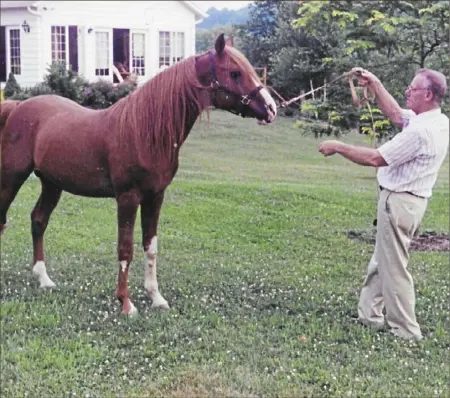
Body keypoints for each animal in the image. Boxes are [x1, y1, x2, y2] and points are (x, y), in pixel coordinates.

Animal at [0, 35, 276, 314]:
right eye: (235, 72)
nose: (271, 108)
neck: (143, 131)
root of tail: (18, 106)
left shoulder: (155, 196)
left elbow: (150, 247)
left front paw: (156, 297)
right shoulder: (128, 198)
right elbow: (125, 249)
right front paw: (126, 303)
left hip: (51, 183)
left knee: (39, 220)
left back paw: (44, 278)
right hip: (12, 177)